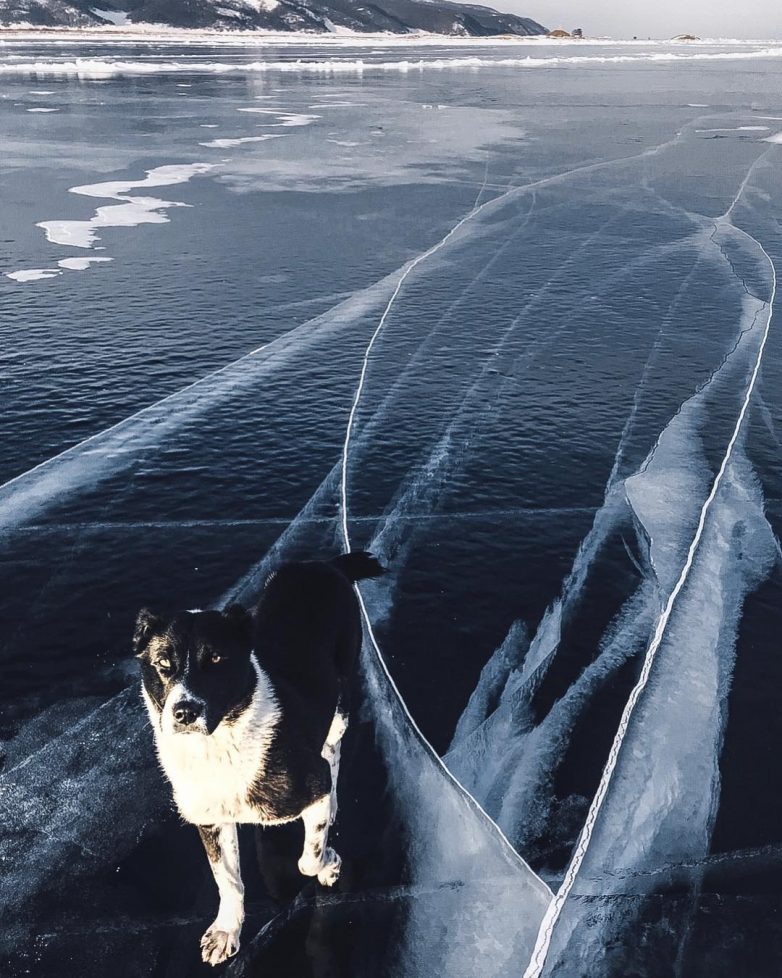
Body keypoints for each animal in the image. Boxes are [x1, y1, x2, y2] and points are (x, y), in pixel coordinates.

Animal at [136, 552, 386, 964]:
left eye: (217, 659)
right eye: (162, 663)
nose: (185, 712)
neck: (220, 745)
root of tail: (326, 565)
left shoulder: (311, 784)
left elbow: (307, 859)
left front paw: (330, 864)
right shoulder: (210, 820)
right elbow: (228, 880)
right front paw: (226, 931)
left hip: (340, 700)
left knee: (332, 752)